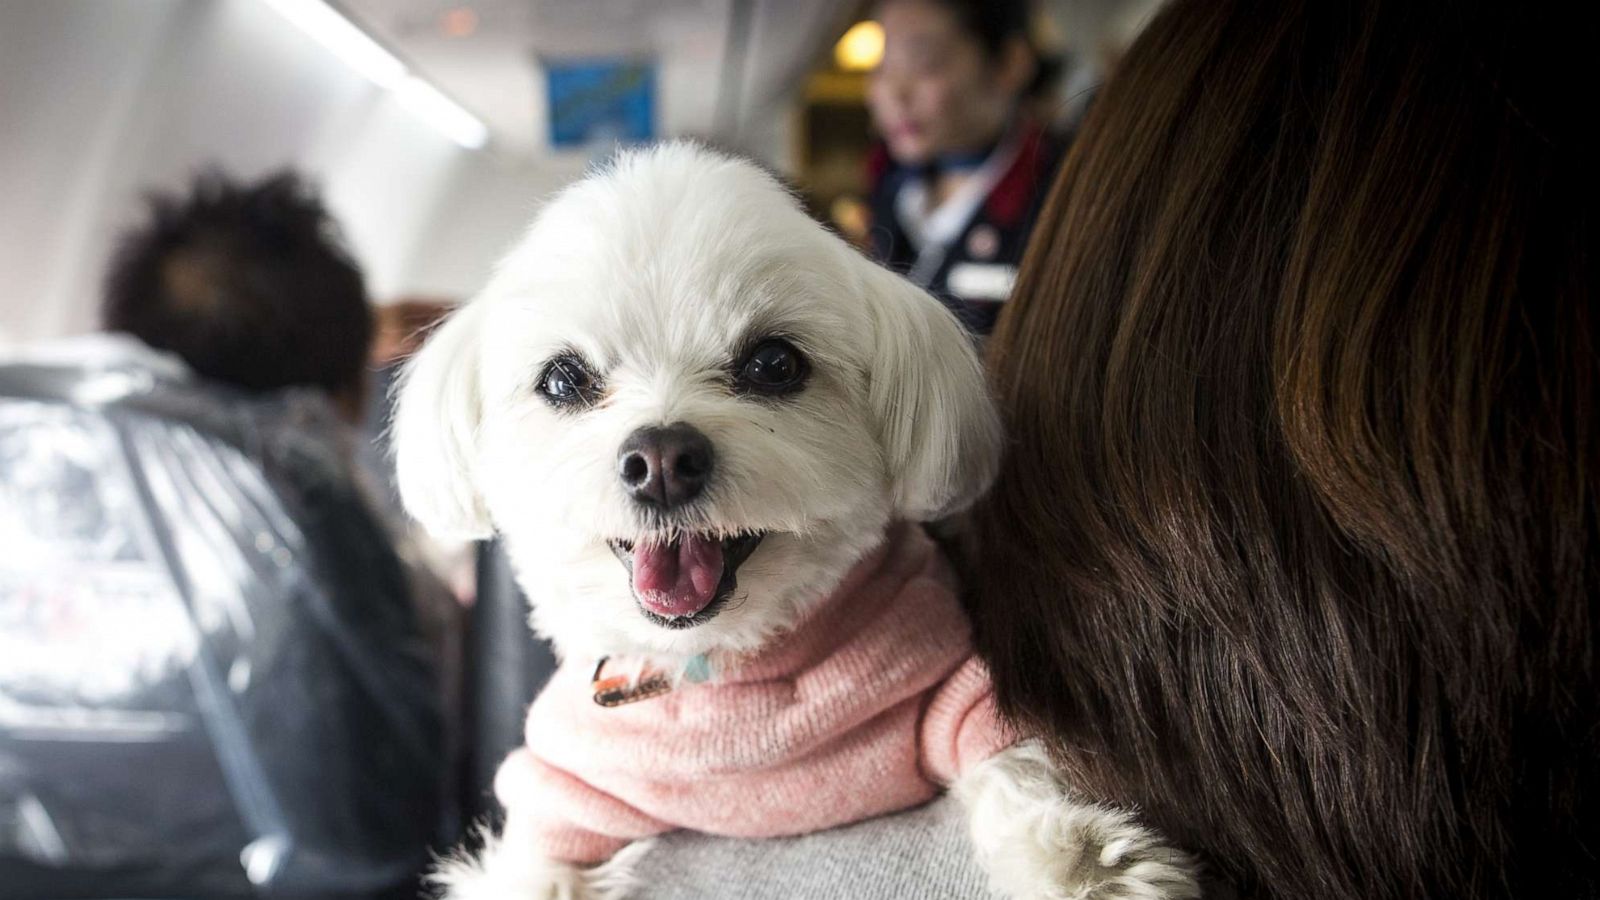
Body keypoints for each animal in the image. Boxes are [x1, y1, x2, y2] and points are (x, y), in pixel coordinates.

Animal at [390, 143, 1203, 890]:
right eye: (563, 379)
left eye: (774, 364)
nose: (661, 459)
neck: (722, 668)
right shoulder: (565, 787)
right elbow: (535, 865)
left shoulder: (956, 688)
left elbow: (1011, 763)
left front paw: (1085, 861)